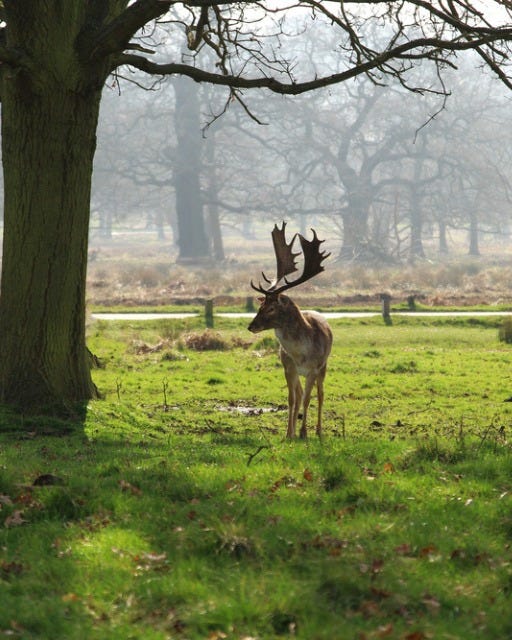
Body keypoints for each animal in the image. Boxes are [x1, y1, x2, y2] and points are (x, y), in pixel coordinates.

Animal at [248, 222, 333, 439]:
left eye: (271, 308)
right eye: (260, 305)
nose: (251, 326)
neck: (300, 354)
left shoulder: (313, 368)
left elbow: (308, 399)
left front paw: (303, 433)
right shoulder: (288, 367)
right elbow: (292, 399)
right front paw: (289, 433)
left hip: (324, 366)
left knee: (320, 394)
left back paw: (318, 430)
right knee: (300, 394)